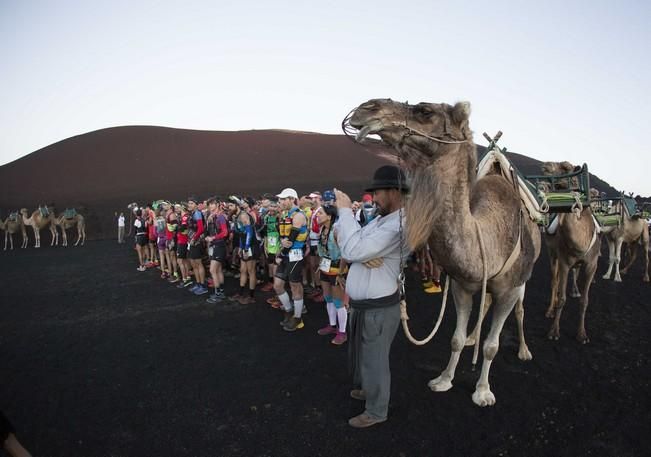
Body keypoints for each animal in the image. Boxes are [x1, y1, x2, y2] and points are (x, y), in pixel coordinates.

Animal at [348, 100, 544, 406]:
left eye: (425, 111)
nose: (366, 108)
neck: (489, 236)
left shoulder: (510, 289)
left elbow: (492, 346)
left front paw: (483, 391)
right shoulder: (462, 285)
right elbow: (455, 338)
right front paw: (444, 379)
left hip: (524, 277)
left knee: (520, 310)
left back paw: (523, 350)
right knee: (485, 303)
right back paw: (473, 338)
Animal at [540, 160, 600, 342]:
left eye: (565, 168)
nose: (544, 166)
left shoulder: (592, 264)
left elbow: (585, 301)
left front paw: (582, 334)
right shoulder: (564, 261)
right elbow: (562, 298)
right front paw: (554, 331)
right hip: (552, 252)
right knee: (555, 280)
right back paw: (550, 310)